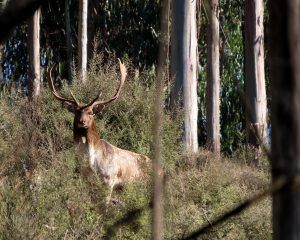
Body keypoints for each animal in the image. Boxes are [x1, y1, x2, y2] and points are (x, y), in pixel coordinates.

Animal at [47, 59, 151, 202]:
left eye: (91, 112)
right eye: (76, 111)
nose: (82, 122)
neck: (91, 163)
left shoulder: (109, 179)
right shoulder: (86, 180)